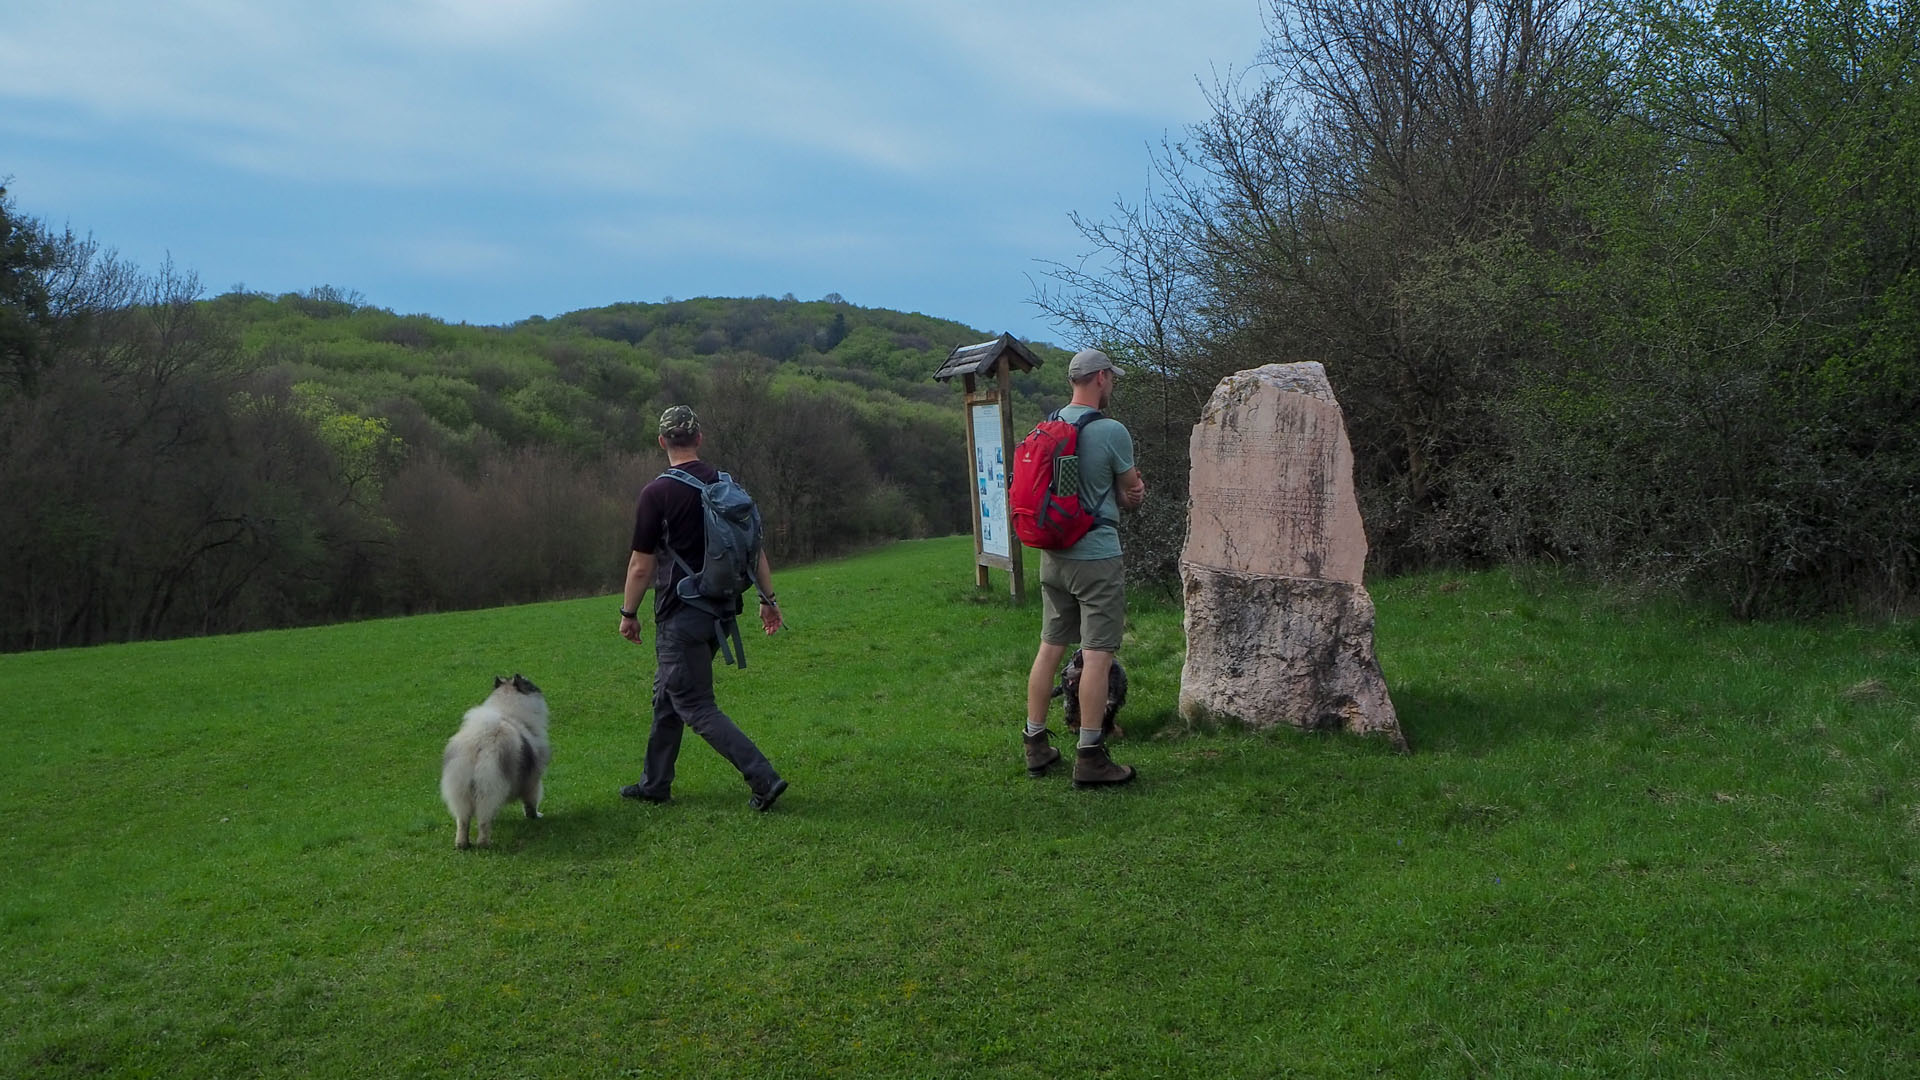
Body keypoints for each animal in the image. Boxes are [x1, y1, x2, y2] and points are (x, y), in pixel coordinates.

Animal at [439, 668, 552, 845]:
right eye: (528, 683)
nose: (539, 689)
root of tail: (480, 743)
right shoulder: (533, 779)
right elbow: (531, 801)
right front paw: (535, 816)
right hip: (489, 787)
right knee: (483, 820)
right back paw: (484, 843)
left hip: (459, 790)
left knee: (463, 820)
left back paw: (462, 844)